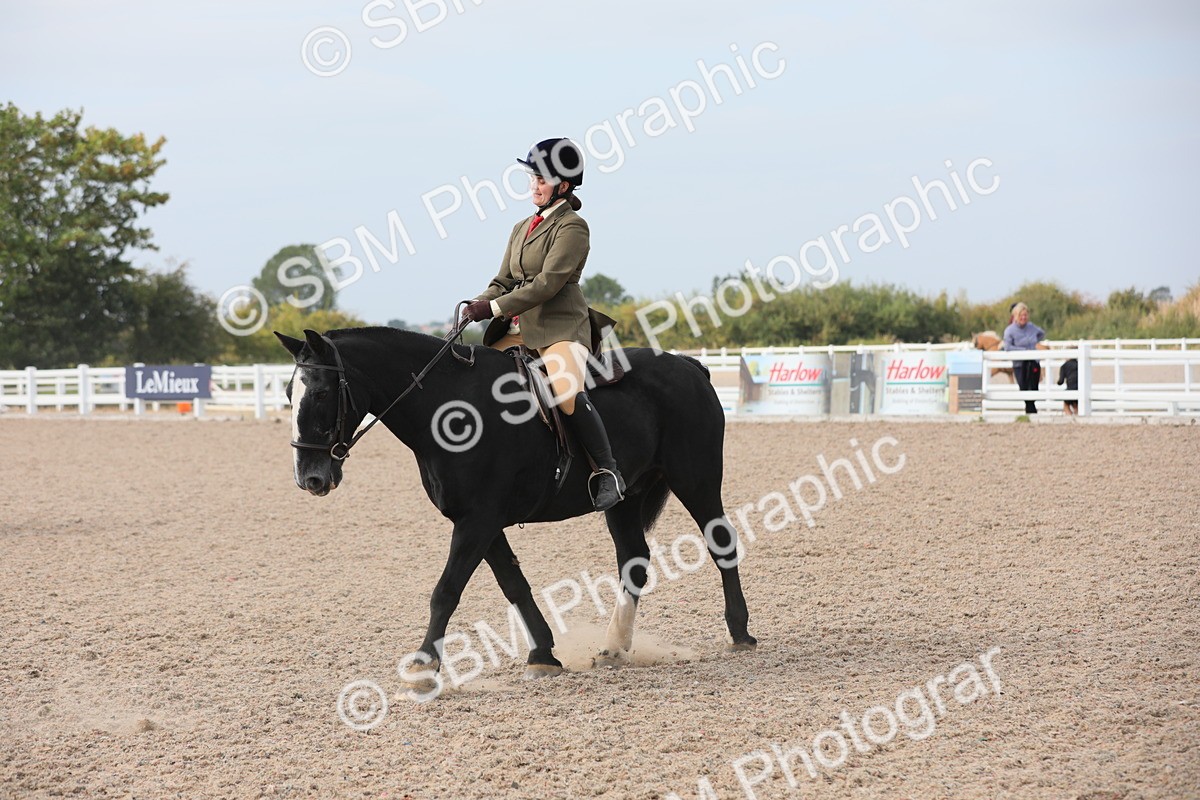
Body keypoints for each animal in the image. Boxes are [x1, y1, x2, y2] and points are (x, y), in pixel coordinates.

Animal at [275, 327, 756, 686]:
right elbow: (514, 584)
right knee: (633, 560)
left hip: (696, 479)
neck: (448, 406)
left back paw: (740, 632)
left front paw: (424, 667)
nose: (309, 478)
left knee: (720, 544)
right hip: (624, 499)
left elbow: (446, 591)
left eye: (321, 393)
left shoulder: (478, 520)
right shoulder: (479, 521)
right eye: (287, 392)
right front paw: (543, 653)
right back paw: (614, 648)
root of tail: (688, 365)